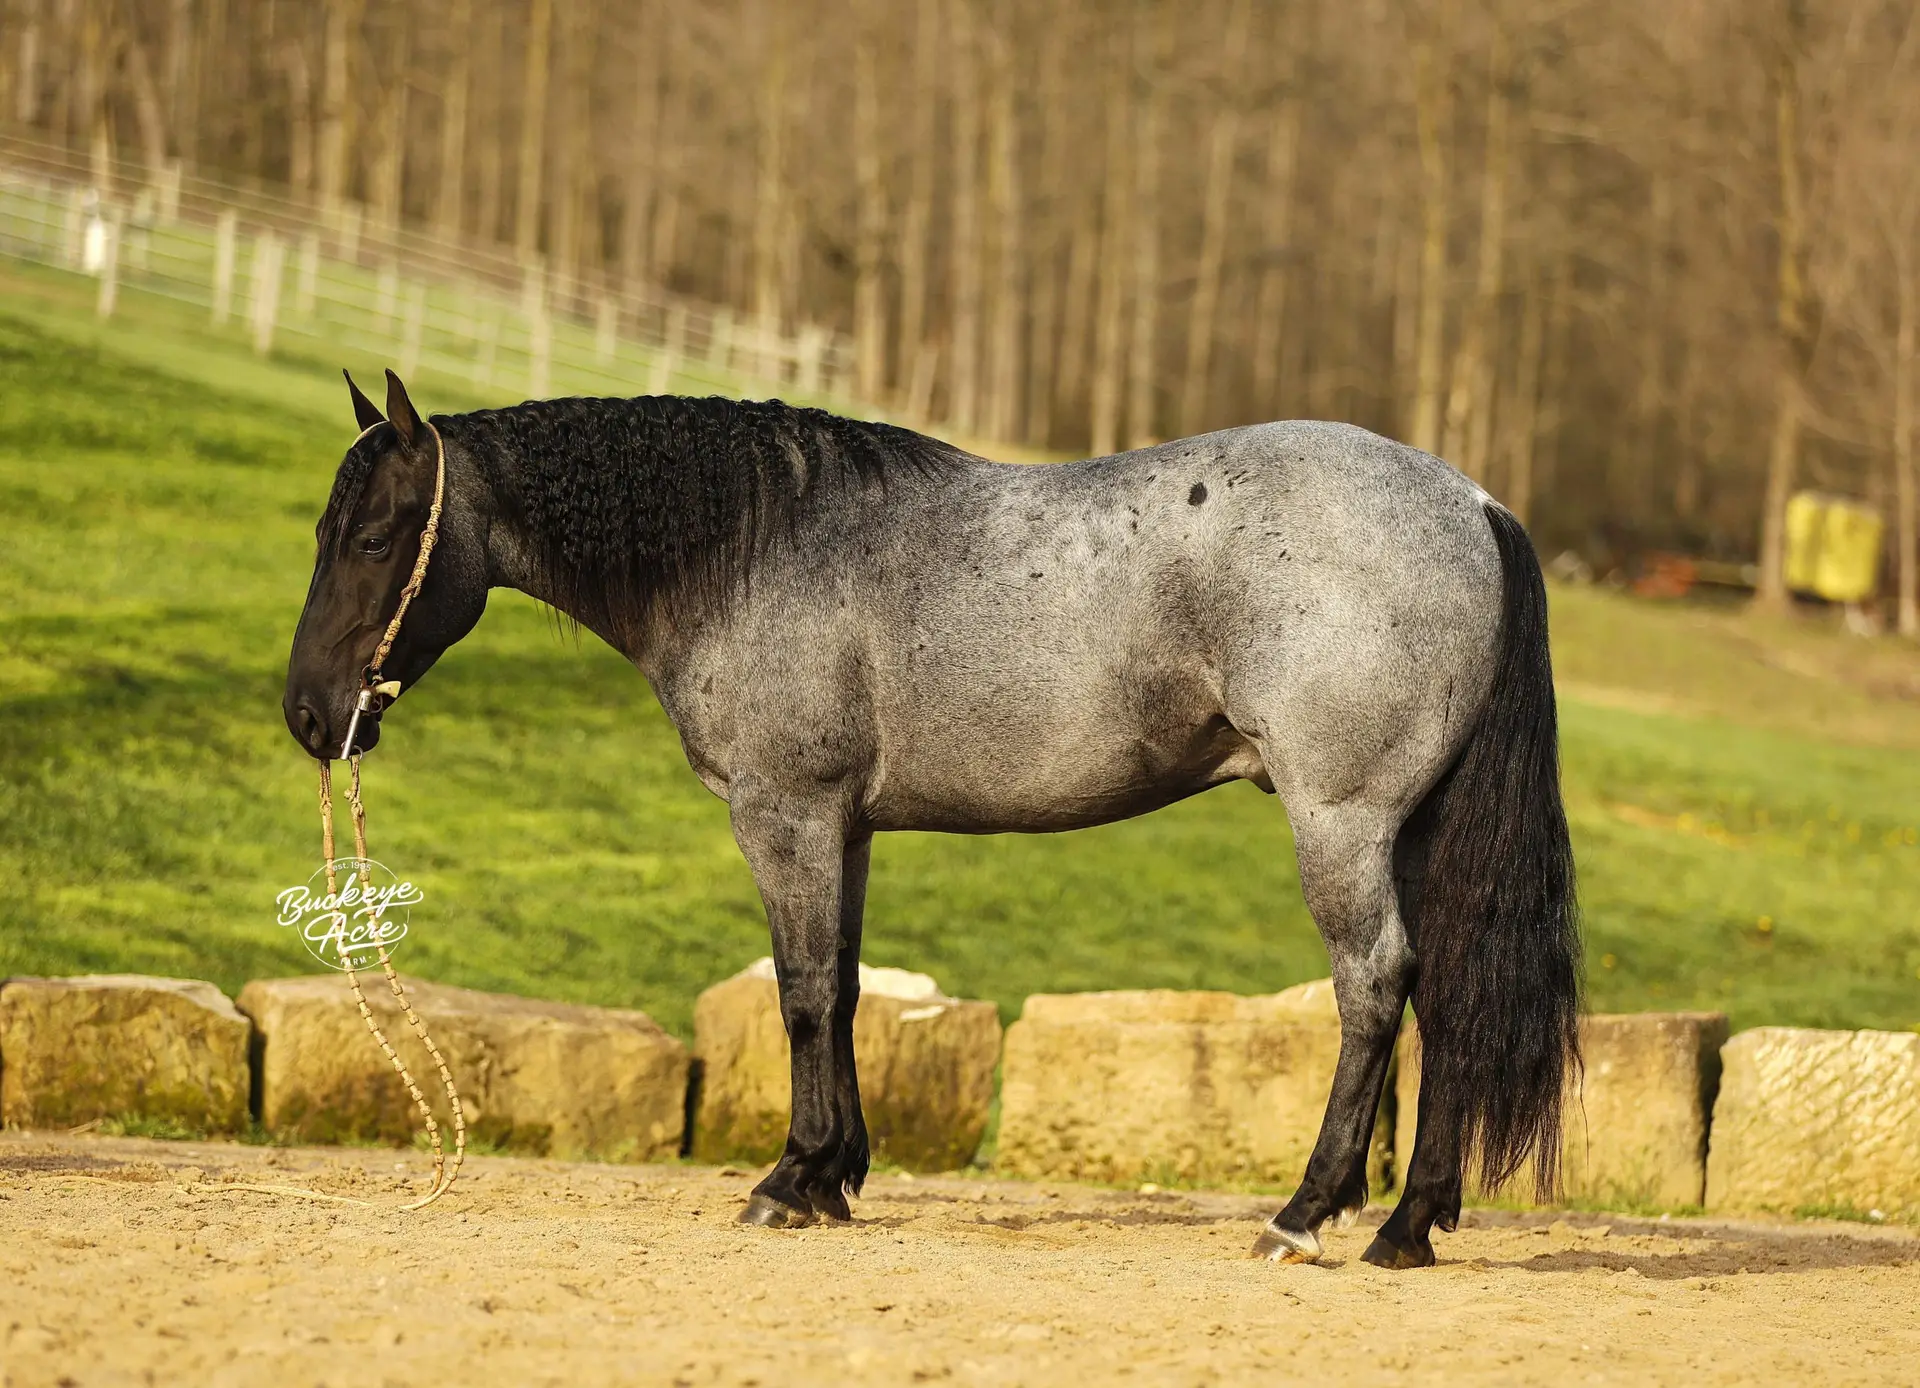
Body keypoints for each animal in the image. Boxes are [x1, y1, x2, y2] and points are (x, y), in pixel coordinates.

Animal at [285, 370, 1580, 1269]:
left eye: (373, 535)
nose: (309, 713)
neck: (759, 548)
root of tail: (1474, 502)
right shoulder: (846, 828)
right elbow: (848, 983)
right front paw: (835, 1174)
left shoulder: (786, 814)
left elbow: (803, 988)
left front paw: (789, 1179)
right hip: (1417, 829)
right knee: (1447, 993)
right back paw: (1410, 1223)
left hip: (1342, 822)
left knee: (1375, 987)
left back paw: (1308, 1212)